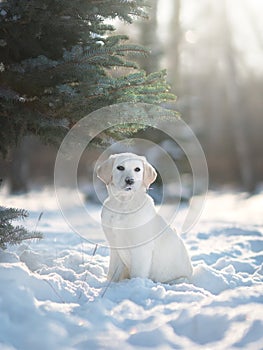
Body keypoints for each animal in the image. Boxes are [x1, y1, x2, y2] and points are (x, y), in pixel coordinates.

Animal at [97, 152, 194, 284]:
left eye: (137, 169)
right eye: (120, 167)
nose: (130, 181)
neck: (123, 204)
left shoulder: (141, 250)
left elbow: (138, 273)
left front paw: (135, 285)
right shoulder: (115, 247)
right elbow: (112, 273)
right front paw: (109, 285)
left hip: (179, 279)